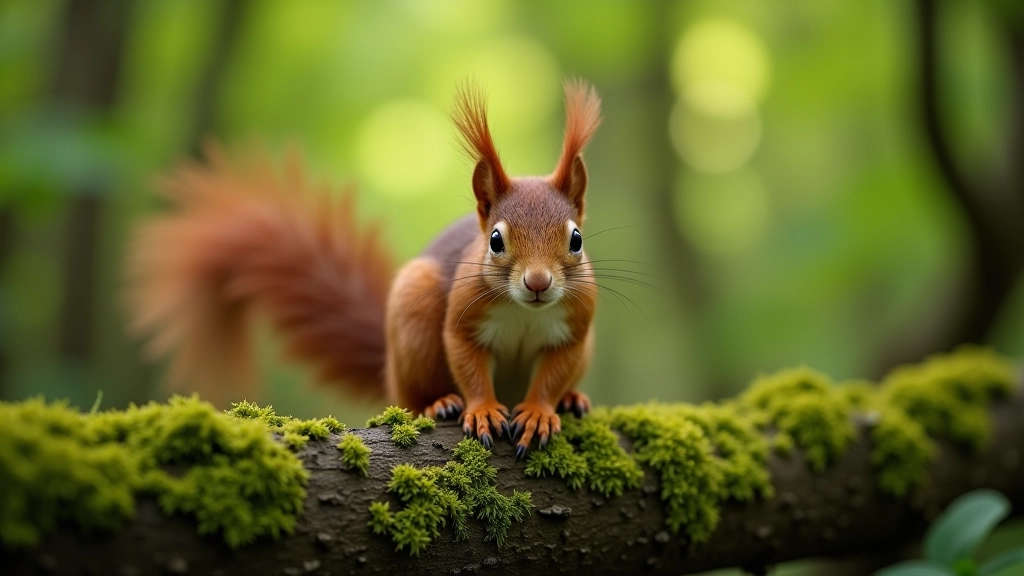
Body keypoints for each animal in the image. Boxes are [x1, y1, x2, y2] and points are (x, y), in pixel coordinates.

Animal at [125, 79, 602, 456]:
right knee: (412, 397)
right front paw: (482, 409)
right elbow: (467, 361)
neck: (526, 312)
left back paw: (573, 399)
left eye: (576, 239)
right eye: (495, 241)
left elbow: (553, 374)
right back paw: (439, 403)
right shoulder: (464, 313)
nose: (538, 283)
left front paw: (540, 411)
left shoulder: (577, 327)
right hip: (413, 314)